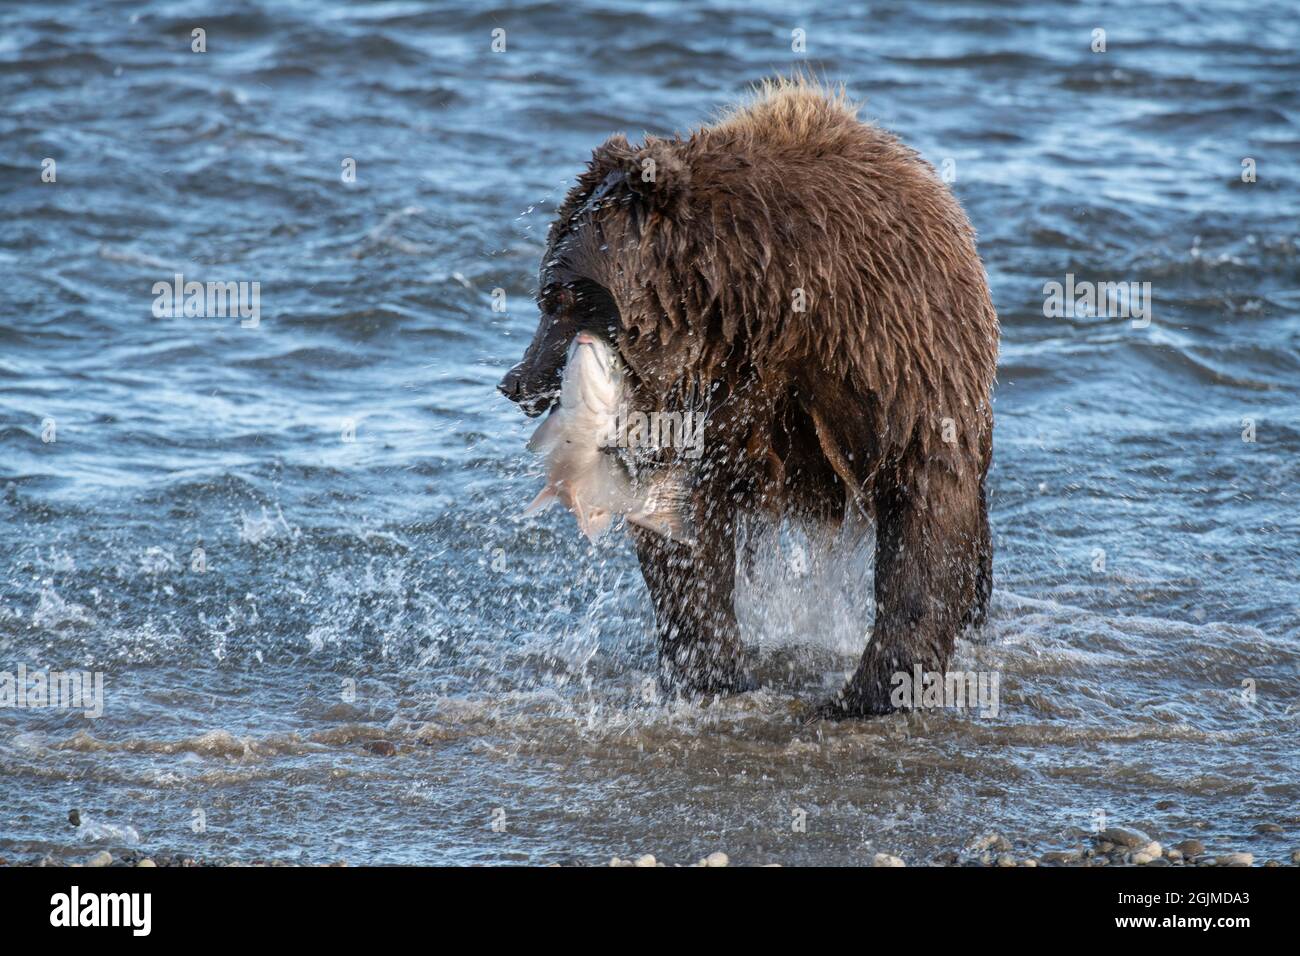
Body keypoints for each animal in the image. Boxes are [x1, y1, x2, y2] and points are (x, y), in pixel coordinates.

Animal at [496, 76, 993, 717]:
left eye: (558, 297)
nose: (516, 381)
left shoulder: (890, 346)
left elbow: (925, 506)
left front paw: (874, 689)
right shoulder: (704, 408)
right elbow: (684, 533)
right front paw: (711, 672)